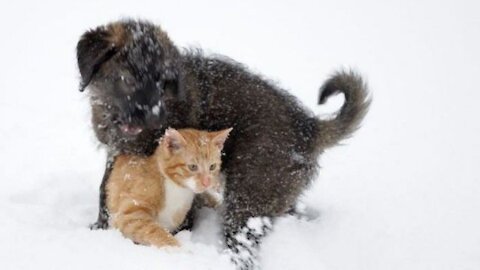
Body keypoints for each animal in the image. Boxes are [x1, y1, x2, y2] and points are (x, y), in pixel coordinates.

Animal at [77, 19, 370, 270]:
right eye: (128, 79)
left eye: (163, 86)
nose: (153, 117)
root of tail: (308, 126)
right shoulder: (118, 152)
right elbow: (106, 188)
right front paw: (101, 227)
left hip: (250, 194)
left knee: (243, 244)